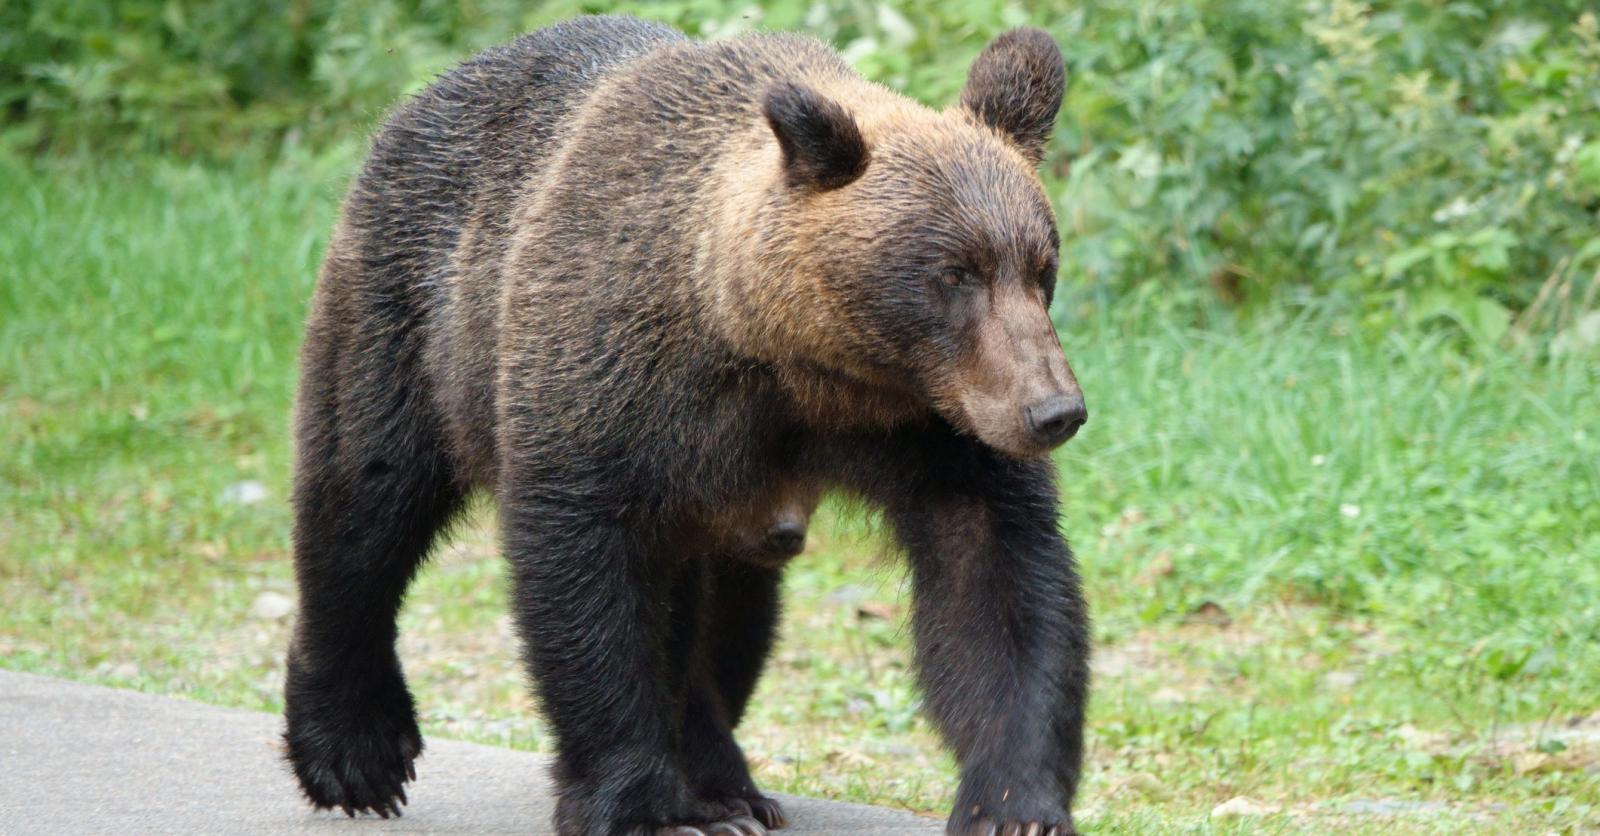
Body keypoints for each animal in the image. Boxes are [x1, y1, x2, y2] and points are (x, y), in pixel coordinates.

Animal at [284, 14, 1088, 832]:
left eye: (1041, 266)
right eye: (954, 274)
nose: (1054, 410)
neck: (788, 359)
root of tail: (418, 99)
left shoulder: (929, 427)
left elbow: (992, 582)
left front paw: (1012, 801)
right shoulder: (610, 387)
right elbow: (591, 585)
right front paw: (645, 803)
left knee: (728, 619)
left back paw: (724, 782)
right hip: (412, 313)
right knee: (365, 497)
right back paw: (355, 749)